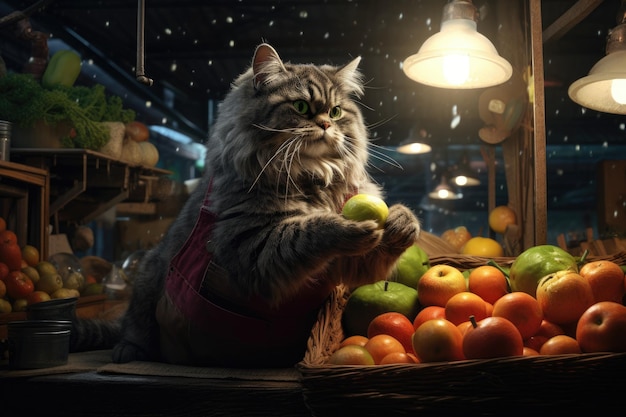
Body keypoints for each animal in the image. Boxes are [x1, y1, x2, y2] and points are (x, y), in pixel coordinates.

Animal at [70, 43, 416, 368]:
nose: (326, 126)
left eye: (335, 112)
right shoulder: (249, 242)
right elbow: (311, 229)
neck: (311, 174)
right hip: (147, 279)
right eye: (301, 107)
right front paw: (346, 226)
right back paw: (128, 350)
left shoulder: (348, 267)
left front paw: (403, 221)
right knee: (135, 328)